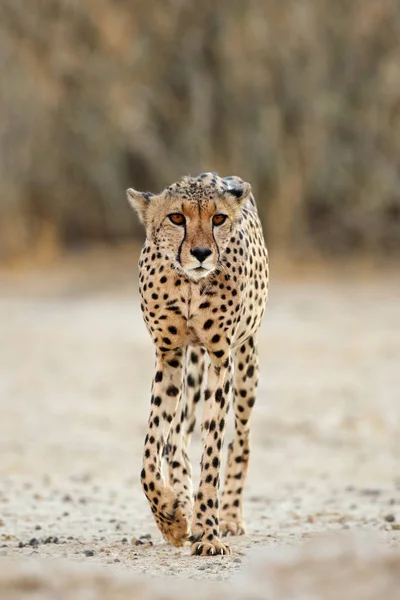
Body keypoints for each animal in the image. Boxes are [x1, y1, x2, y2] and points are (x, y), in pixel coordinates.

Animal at [126, 171, 268, 556]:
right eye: (177, 218)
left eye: (218, 219)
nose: (202, 253)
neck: (190, 283)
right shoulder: (169, 355)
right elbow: (151, 451)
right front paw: (172, 519)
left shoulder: (221, 360)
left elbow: (214, 451)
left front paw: (208, 533)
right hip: (190, 368)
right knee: (176, 439)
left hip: (245, 366)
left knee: (241, 439)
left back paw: (230, 517)